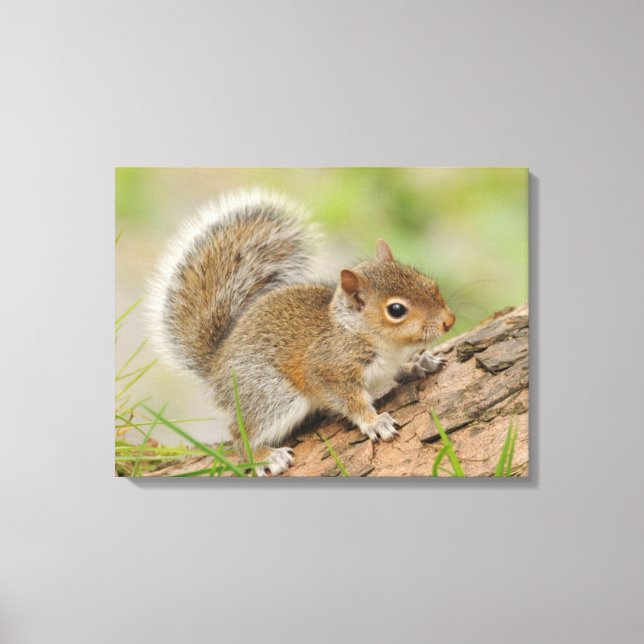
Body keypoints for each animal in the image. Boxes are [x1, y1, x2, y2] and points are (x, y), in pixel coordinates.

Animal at [149, 189, 455, 476]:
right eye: (396, 310)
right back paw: (264, 457)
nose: (449, 321)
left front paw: (420, 363)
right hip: (272, 393)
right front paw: (374, 422)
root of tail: (215, 368)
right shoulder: (328, 367)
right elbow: (349, 401)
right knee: (240, 437)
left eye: (429, 283)